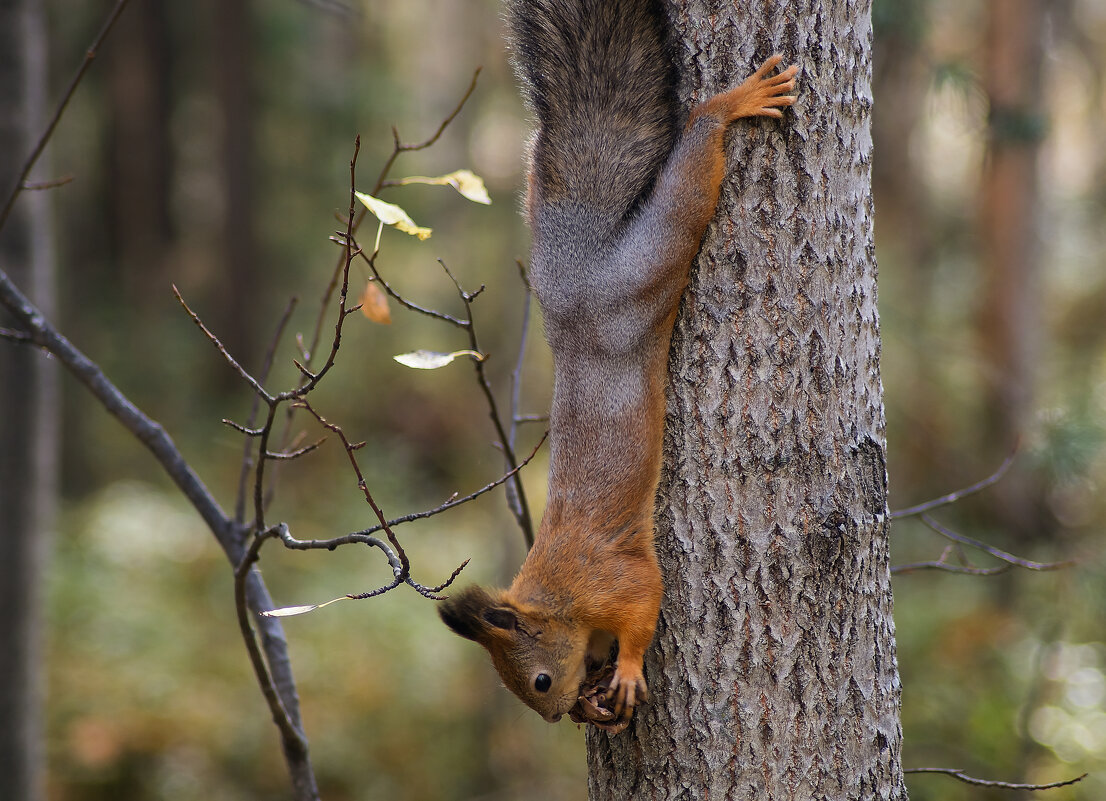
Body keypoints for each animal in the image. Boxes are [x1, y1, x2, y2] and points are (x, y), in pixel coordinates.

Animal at [437, 0, 796, 730]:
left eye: (539, 680)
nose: (556, 715)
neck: (555, 592)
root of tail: (578, 279)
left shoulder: (613, 578)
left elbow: (642, 606)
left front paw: (624, 673)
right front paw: (597, 696)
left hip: (641, 274)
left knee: (689, 182)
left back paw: (729, 105)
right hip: (545, 233)